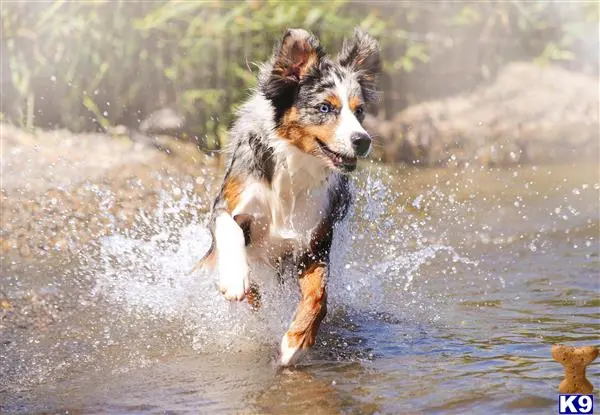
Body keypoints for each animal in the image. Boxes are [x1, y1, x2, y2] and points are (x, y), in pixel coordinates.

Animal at [199, 27, 382, 366]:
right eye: (325, 108)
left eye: (359, 111)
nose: (362, 141)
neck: (295, 166)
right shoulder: (227, 203)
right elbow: (229, 228)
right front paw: (234, 279)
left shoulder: (314, 242)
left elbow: (318, 295)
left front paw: (295, 342)